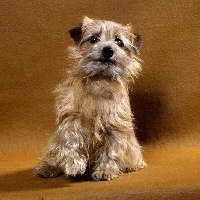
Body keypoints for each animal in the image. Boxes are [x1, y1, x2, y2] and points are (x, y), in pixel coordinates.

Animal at [34, 16, 146, 181]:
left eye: (118, 41)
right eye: (93, 39)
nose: (108, 49)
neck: (99, 81)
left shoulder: (115, 126)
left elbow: (111, 149)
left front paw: (106, 170)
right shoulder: (71, 117)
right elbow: (70, 138)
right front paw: (74, 164)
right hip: (54, 143)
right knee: (55, 153)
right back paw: (48, 167)